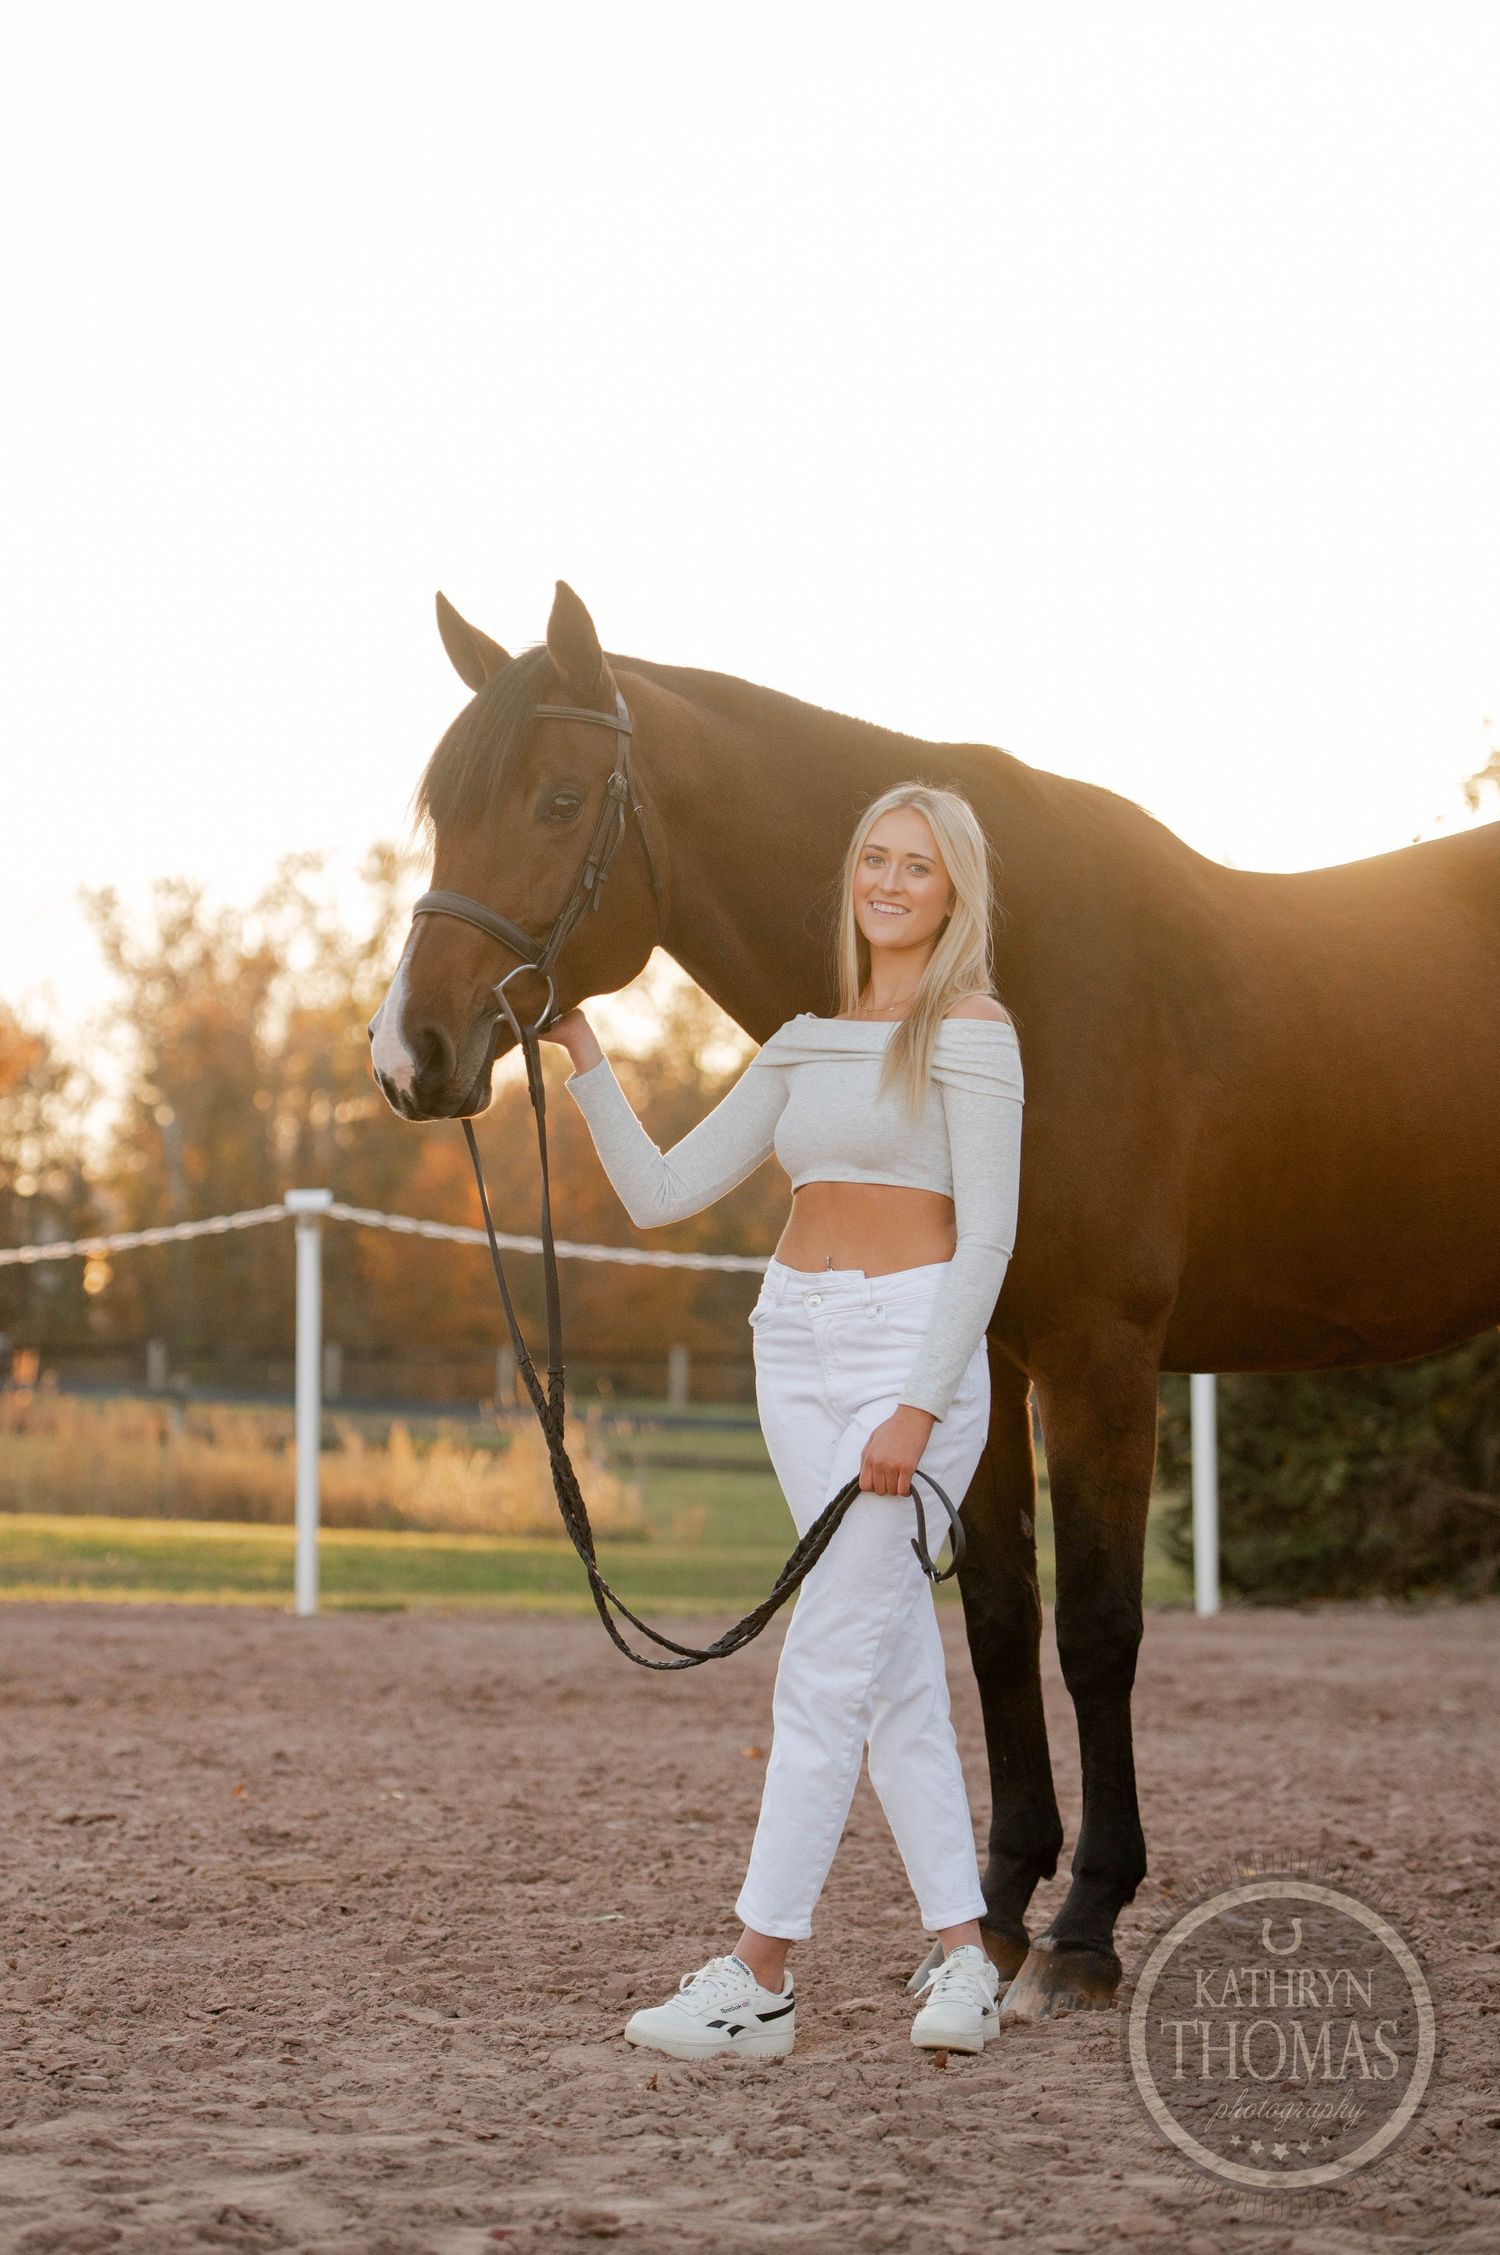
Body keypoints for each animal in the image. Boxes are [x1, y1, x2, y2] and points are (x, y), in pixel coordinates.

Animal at [370, 577, 1500, 2024]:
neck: (1024, 971)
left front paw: (1086, 1929)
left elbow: (1098, 1629)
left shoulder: (1098, 1357)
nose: (412, 1053)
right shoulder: (989, 1359)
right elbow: (1004, 1622)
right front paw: (1000, 1914)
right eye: (444, 808)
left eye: (560, 799)